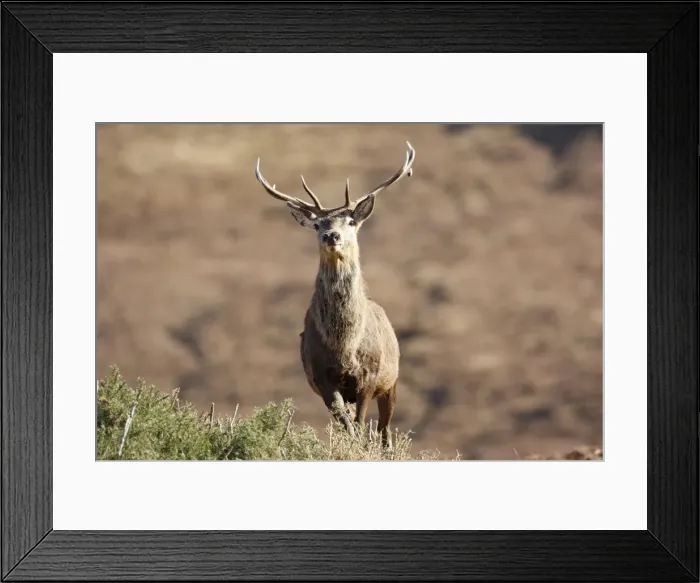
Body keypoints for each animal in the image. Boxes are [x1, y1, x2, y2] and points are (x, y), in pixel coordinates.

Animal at [254, 142, 416, 449]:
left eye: (351, 221)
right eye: (318, 225)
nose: (332, 235)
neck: (344, 347)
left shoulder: (370, 375)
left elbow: (361, 424)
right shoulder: (321, 376)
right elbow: (347, 425)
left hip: (393, 380)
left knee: (385, 430)